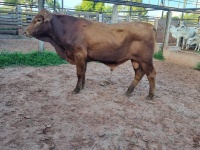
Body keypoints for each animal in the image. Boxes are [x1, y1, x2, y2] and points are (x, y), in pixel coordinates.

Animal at [24, 9, 156, 99]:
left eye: (39, 20)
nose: (25, 32)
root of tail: (148, 25)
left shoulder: (79, 54)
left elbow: (79, 73)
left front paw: (77, 89)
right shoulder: (84, 57)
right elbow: (83, 72)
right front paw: (82, 86)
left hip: (146, 60)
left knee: (151, 74)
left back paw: (150, 95)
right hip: (136, 60)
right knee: (139, 74)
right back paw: (128, 91)